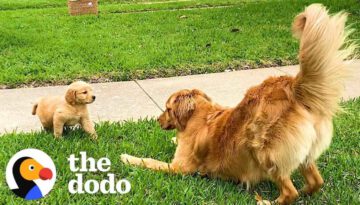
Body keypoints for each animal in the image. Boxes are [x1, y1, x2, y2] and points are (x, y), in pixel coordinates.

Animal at [121, 4, 358, 204]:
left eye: (167, 109)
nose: (157, 120)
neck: (198, 117)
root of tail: (291, 86)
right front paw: (172, 139)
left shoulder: (180, 167)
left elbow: (149, 161)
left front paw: (127, 158)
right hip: (303, 155)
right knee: (316, 182)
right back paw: (306, 192)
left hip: (263, 151)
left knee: (290, 192)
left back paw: (269, 201)